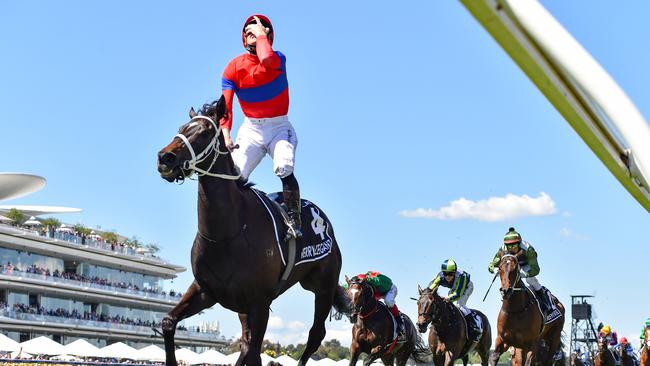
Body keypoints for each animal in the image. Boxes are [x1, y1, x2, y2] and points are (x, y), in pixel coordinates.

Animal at [156, 96, 350, 366]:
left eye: (204, 132)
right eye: (182, 127)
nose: (166, 157)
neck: (227, 233)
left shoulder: (260, 301)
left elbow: (254, 348)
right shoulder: (206, 291)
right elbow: (168, 322)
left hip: (323, 286)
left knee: (314, 335)